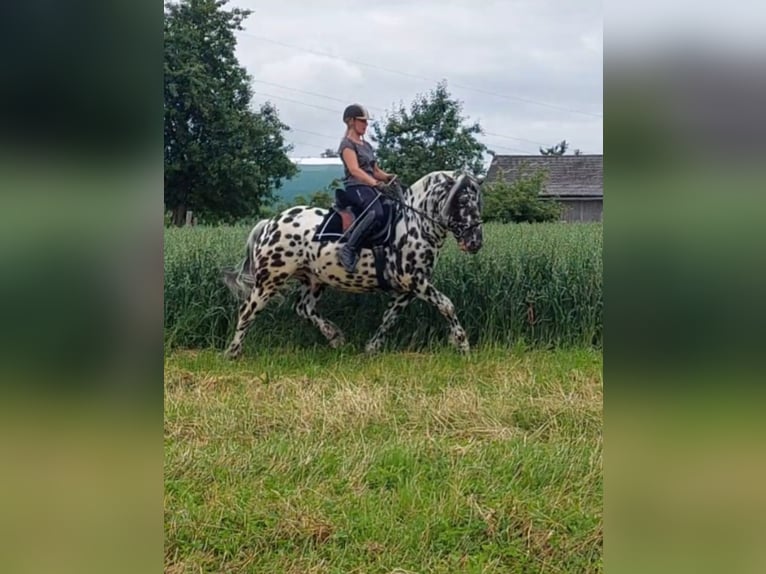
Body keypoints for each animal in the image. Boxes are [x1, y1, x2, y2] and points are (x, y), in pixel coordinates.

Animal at [224, 170, 486, 360]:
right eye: (462, 200)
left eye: (478, 201)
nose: (475, 242)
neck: (415, 225)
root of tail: (270, 223)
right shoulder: (416, 282)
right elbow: (447, 306)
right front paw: (462, 344)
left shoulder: (408, 289)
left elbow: (390, 317)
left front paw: (371, 347)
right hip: (269, 280)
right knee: (247, 311)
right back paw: (233, 352)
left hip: (314, 280)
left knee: (304, 308)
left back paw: (335, 337)